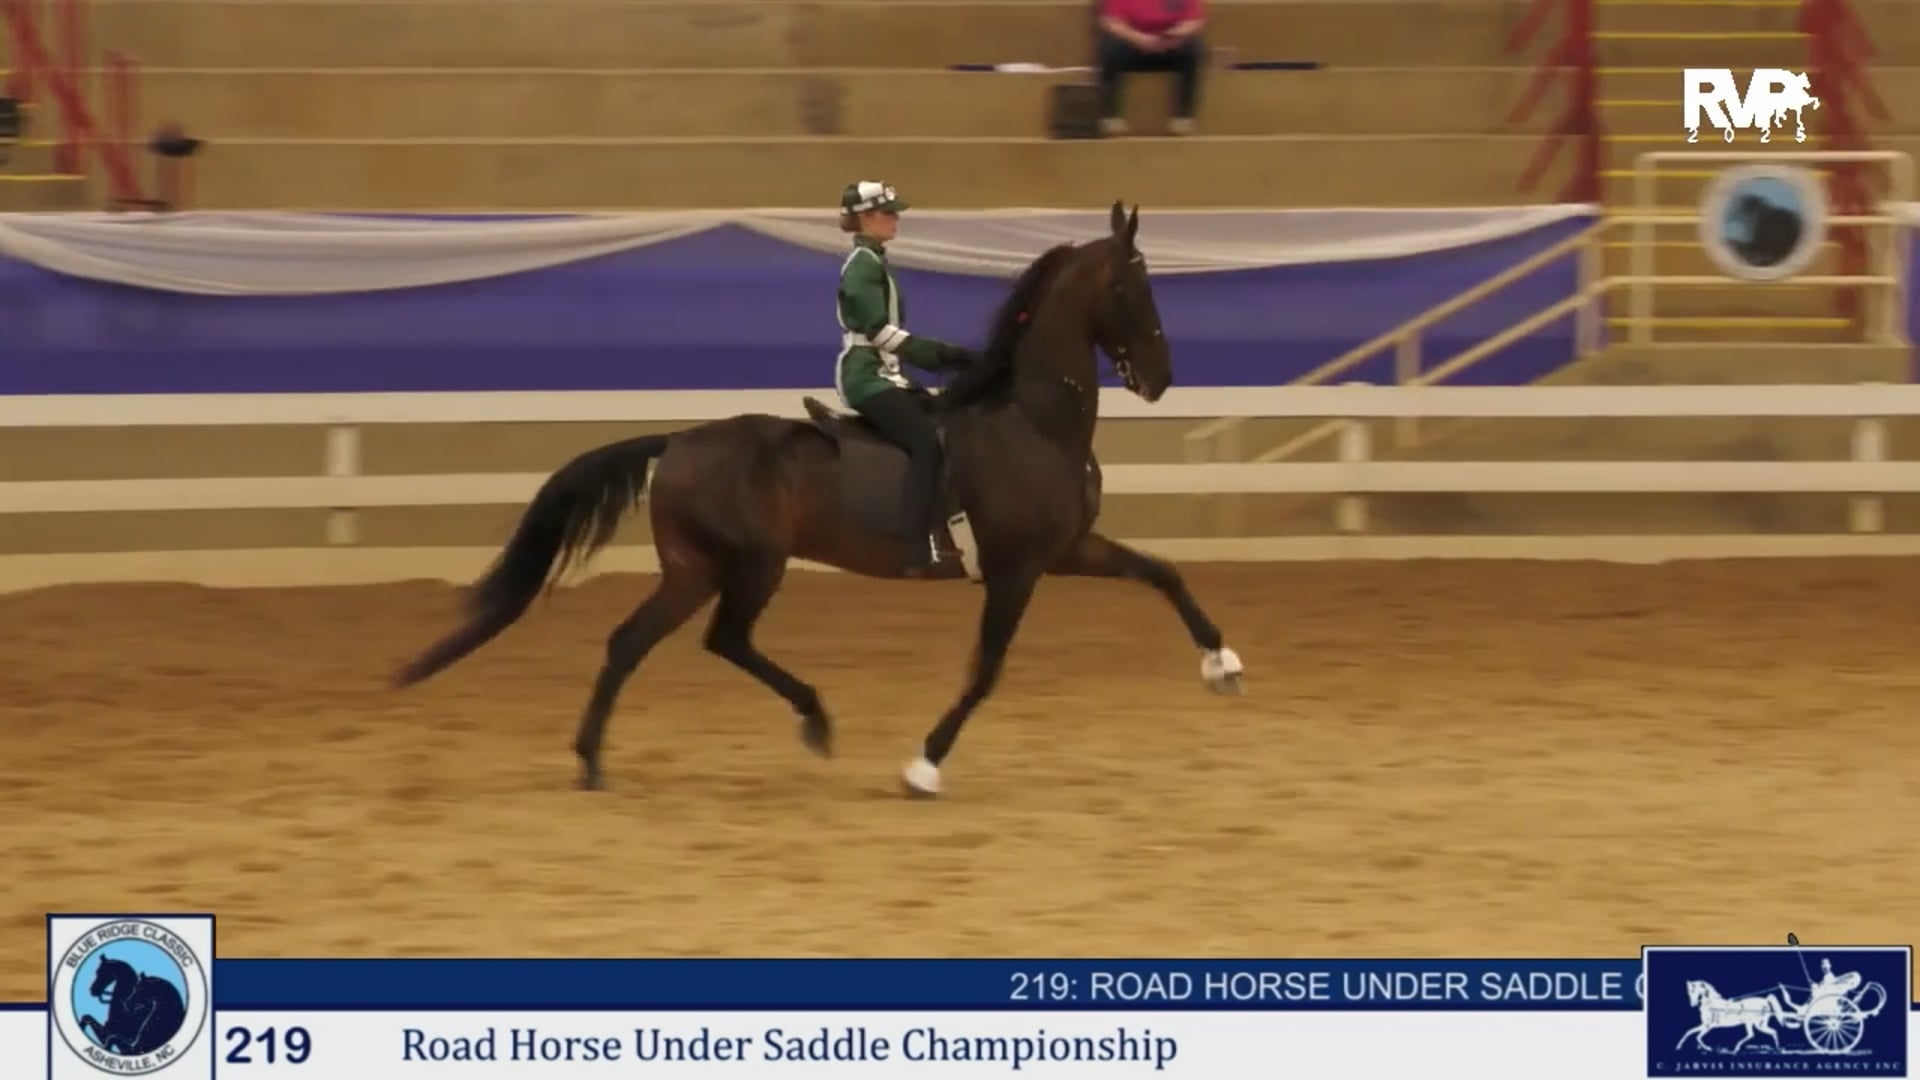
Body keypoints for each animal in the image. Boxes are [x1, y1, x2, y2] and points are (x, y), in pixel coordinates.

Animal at [393, 201, 1244, 798]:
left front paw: (1223, 664)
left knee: (636, 642)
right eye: (1135, 284)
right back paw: (809, 719)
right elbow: (986, 670)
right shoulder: (1017, 569)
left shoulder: (1063, 551)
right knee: (720, 640)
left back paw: (597, 760)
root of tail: (680, 440)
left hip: (696, 569)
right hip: (750, 565)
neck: (1030, 419)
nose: (1160, 378)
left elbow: (1163, 573)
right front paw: (923, 766)